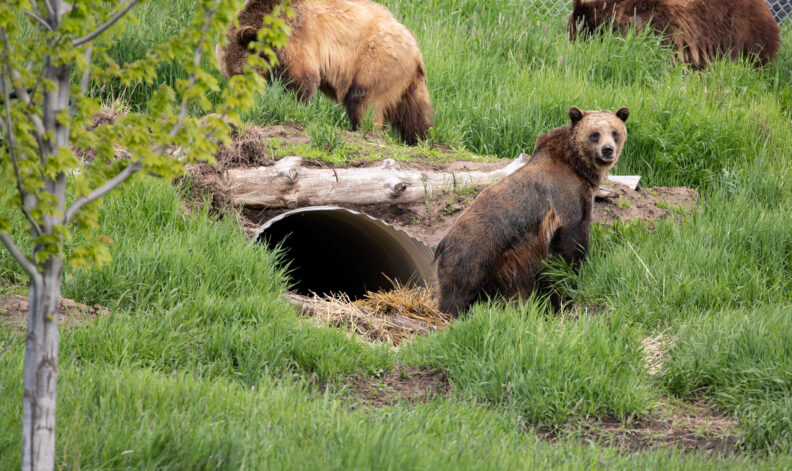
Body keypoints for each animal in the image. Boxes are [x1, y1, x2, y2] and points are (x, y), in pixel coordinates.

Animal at [216, 0, 433, 145]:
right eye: (229, 76)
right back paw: (420, 137)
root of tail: (415, 48)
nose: (239, 98)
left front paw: (293, 105)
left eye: (241, 74)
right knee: (413, 111)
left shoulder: (298, 37)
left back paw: (364, 130)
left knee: (364, 100)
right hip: (406, 77)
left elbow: (301, 79)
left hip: (377, 61)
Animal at [434, 106, 630, 316]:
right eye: (595, 134)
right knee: (457, 294)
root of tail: (442, 243)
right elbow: (574, 239)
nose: (607, 149)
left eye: (614, 132)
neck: (575, 166)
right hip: (473, 255)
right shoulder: (567, 198)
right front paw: (578, 268)